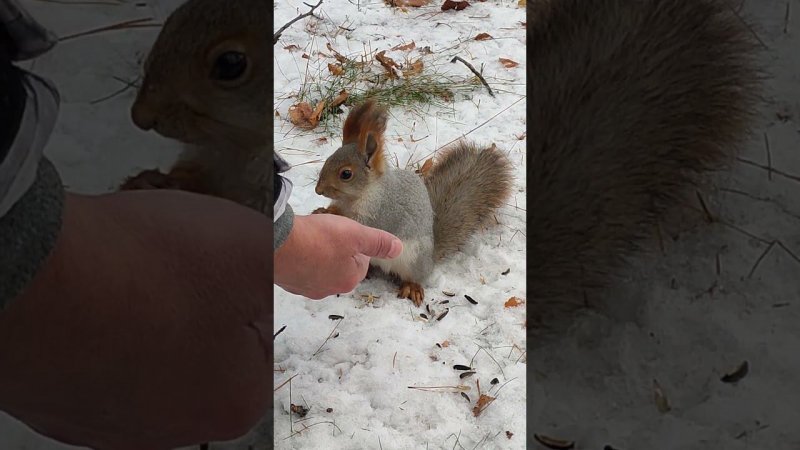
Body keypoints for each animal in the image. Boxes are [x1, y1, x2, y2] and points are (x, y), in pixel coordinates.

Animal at [310, 100, 512, 306]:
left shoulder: (384, 211)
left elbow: (362, 223)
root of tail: (430, 260)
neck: (355, 197)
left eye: (346, 174)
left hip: (413, 259)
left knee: (414, 277)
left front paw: (330, 214)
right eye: (328, 160)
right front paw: (322, 210)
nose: (318, 190)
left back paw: (411, 287)